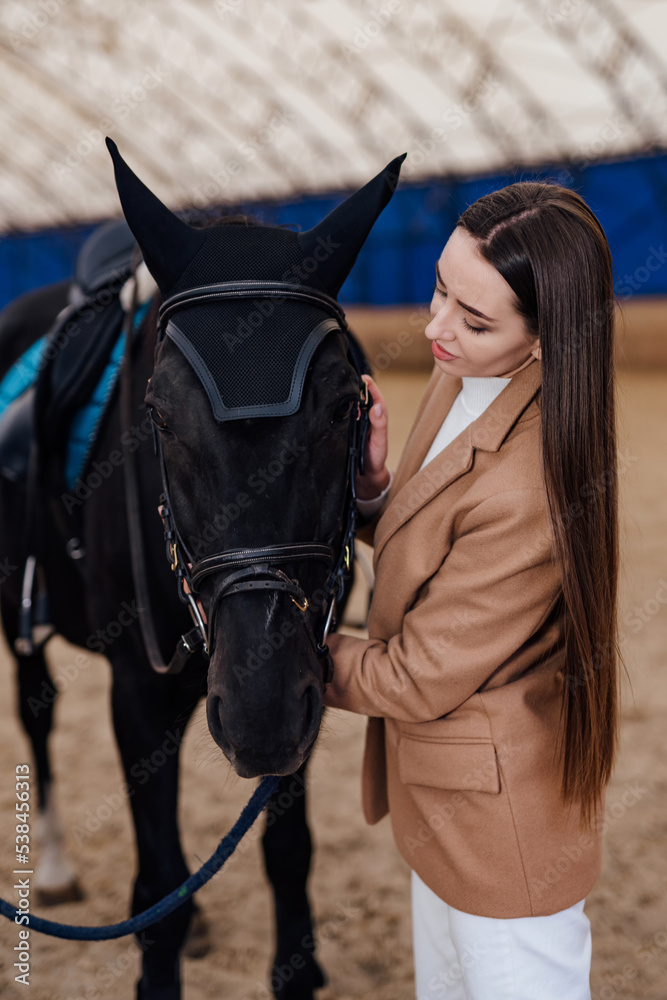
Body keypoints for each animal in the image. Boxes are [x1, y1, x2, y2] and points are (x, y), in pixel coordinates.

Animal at [0, 143, 402, 1000]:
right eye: (157, 415)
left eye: (344, 407)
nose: (257, 714)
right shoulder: (137, 692)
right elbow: (158, 884)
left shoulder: (305, 679)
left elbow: (286, 856)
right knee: (37, 708)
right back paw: (54, 867)